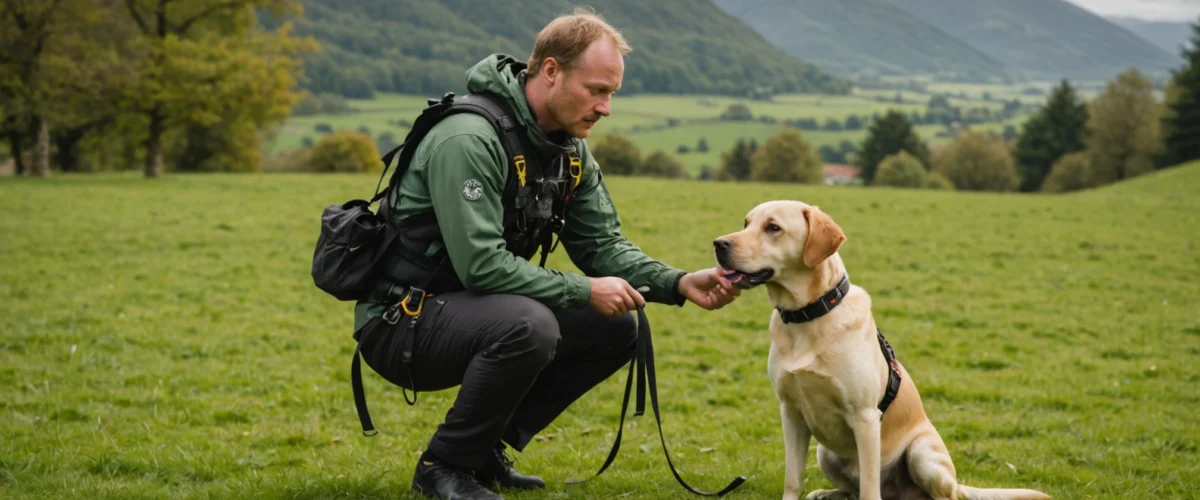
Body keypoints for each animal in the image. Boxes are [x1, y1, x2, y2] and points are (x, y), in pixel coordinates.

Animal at [715, 200, 1046, 498]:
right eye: (746, 223)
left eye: (773, 228)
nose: (718, 244)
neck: (808, 316)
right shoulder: (791, 412)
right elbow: (793, 480)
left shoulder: (865, 417)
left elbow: (869, 489)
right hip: (825, 453)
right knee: (851, 490)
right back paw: (825, 494)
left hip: (922, 454)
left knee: (940, 495)